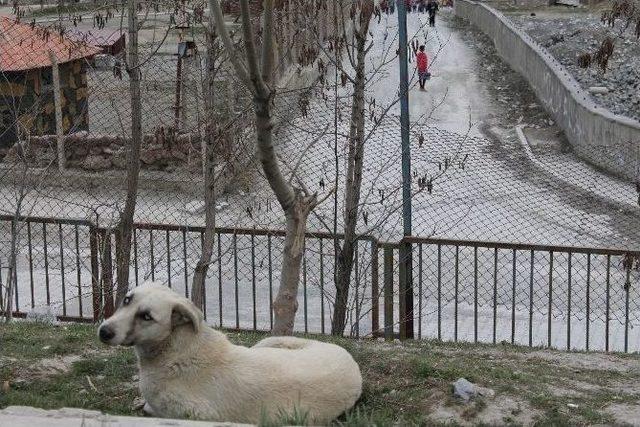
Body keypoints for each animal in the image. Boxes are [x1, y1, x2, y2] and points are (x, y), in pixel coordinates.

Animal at [98, 282, 362, 426]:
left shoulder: (197, 415)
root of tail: (350, 359)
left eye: (146, 316)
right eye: (127, 300)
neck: (176, 350)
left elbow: (151, 409)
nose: (104, 331)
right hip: (267, 343)